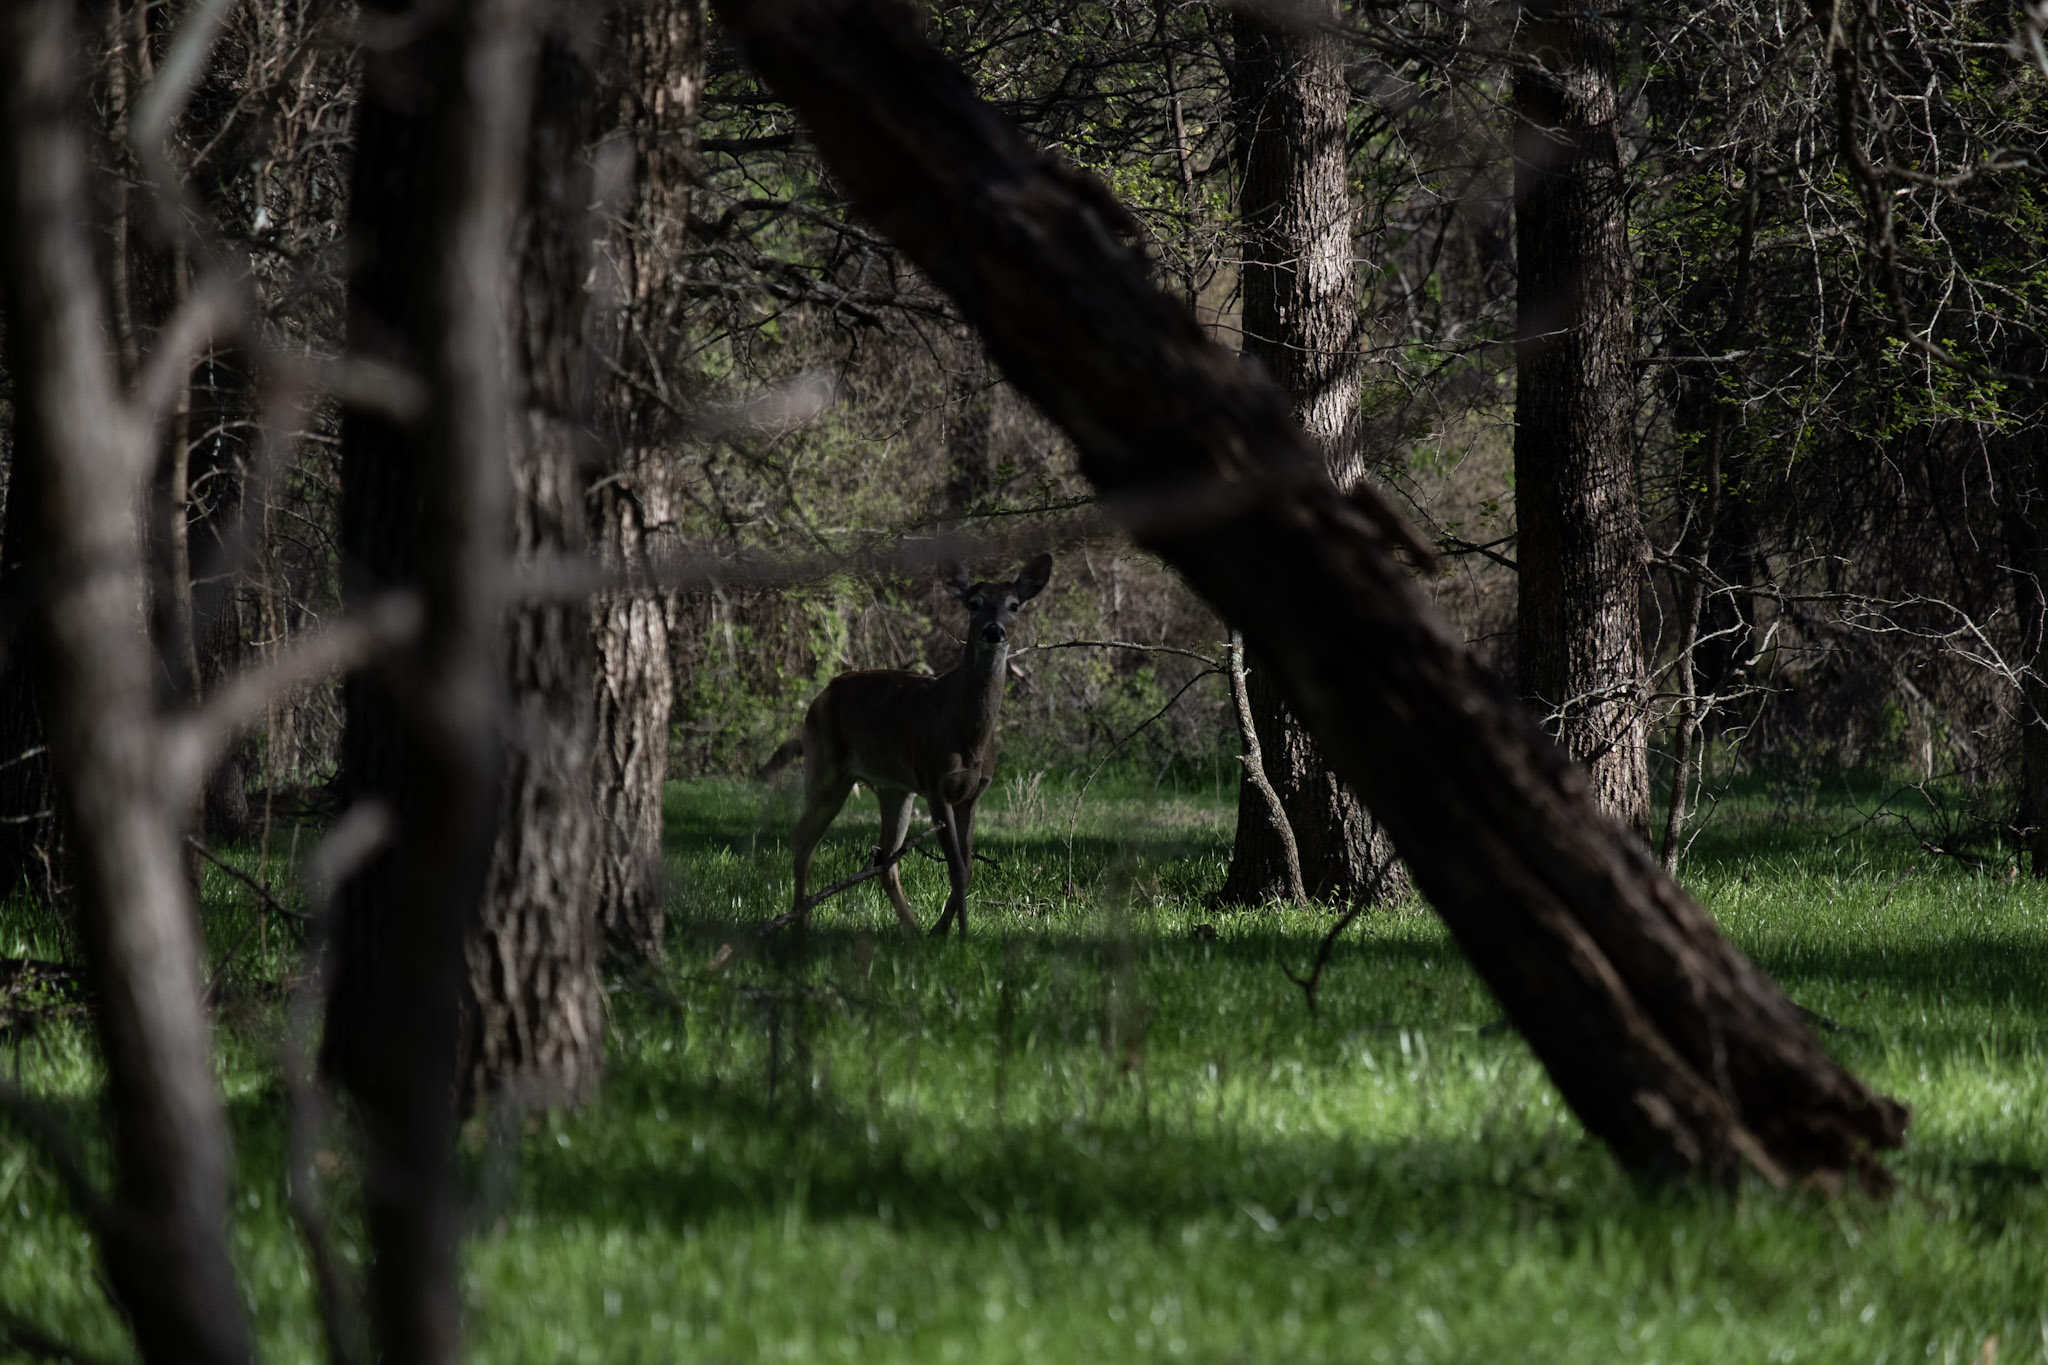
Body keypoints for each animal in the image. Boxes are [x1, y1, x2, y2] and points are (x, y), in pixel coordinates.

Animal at [789, 554, 1052, 937]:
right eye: (973, 604)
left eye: (1014, 605)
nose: (994, 630)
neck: (969, 737)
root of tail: (821, 695)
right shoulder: (935, 782)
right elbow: (956, 867)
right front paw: (961, 935)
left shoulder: (973, 793)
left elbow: (968, 866)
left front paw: (942, 931)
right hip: (825, 766)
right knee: (804, 842)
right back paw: (801, 923)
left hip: (894, 788)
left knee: (884, 858)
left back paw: (911, 930)